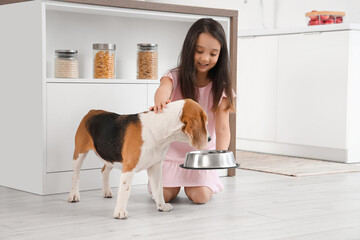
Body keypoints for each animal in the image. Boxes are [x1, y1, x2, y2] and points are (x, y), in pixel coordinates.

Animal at [68, 98, 208, 218]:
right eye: (205, 121)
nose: (210, 138)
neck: (160, 130)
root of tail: (92, 111)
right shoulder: (129, 167)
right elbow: (125, 191)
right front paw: (120, 212)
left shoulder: (155, 167)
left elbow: (159, 189)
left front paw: (162, 206)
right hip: (79, 154)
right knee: (75, 176)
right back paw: (74, 195)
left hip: (110, 156)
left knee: (104, 171)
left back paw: (106, 191)